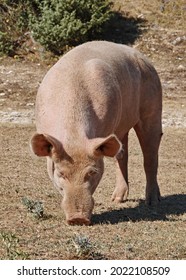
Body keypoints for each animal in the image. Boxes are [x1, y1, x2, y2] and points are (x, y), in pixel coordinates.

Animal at [30, 41, 161, 225]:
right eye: (61, 173)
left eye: (92, 173)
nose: (78, 219)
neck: (74, 136)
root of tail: (145, 59)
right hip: (121, 127)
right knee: (122, 154)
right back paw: (117, 200)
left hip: (153, 105)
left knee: (150, 155)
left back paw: (153, 202)